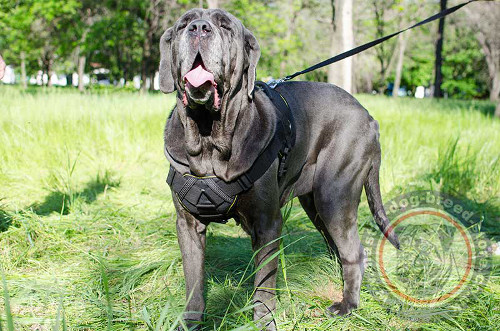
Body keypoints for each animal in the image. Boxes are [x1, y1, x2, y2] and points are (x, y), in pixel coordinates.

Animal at [161, 8, 402, 331]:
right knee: (337, 246)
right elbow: (193, 284)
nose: (199, 28)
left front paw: (264, 322)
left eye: (225, 25)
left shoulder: (267, 224)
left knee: (354, 252)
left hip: (334, 196)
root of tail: (370, 118)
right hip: (315, 203)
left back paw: (347, 305)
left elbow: (264, 284)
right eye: (184, 23)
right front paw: (190, 322)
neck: (209, 136)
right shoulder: (187, 224)